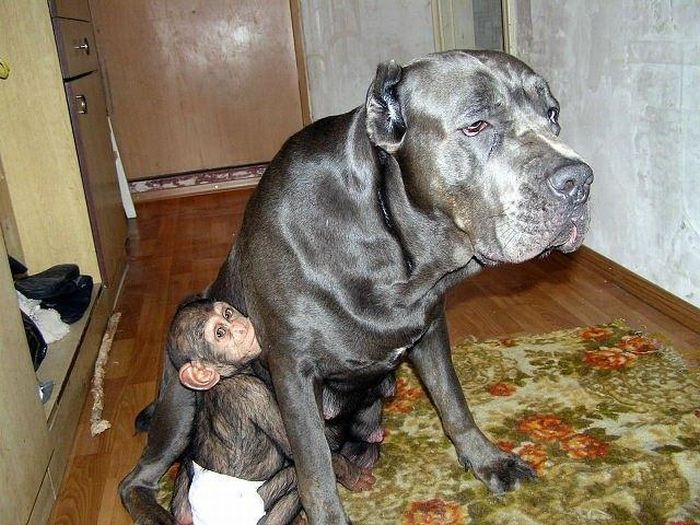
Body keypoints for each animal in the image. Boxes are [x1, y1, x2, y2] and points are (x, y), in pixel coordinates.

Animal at [165, 294, 372, 524]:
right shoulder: (255, 393)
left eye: (228, 313)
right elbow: (299, 446)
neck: (228, 377)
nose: (239, 327)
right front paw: (353, 475)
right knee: (294, 480)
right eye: (220, 333)